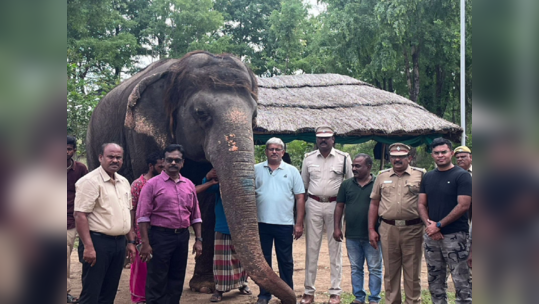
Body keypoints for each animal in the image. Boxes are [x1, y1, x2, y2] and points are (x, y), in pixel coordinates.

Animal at [86, 51, 296, 302]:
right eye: (201, 113)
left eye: (254, 116)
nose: (291, 298)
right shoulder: (139, 134)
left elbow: (204, 202)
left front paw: (204, 287)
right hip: (92, 142)